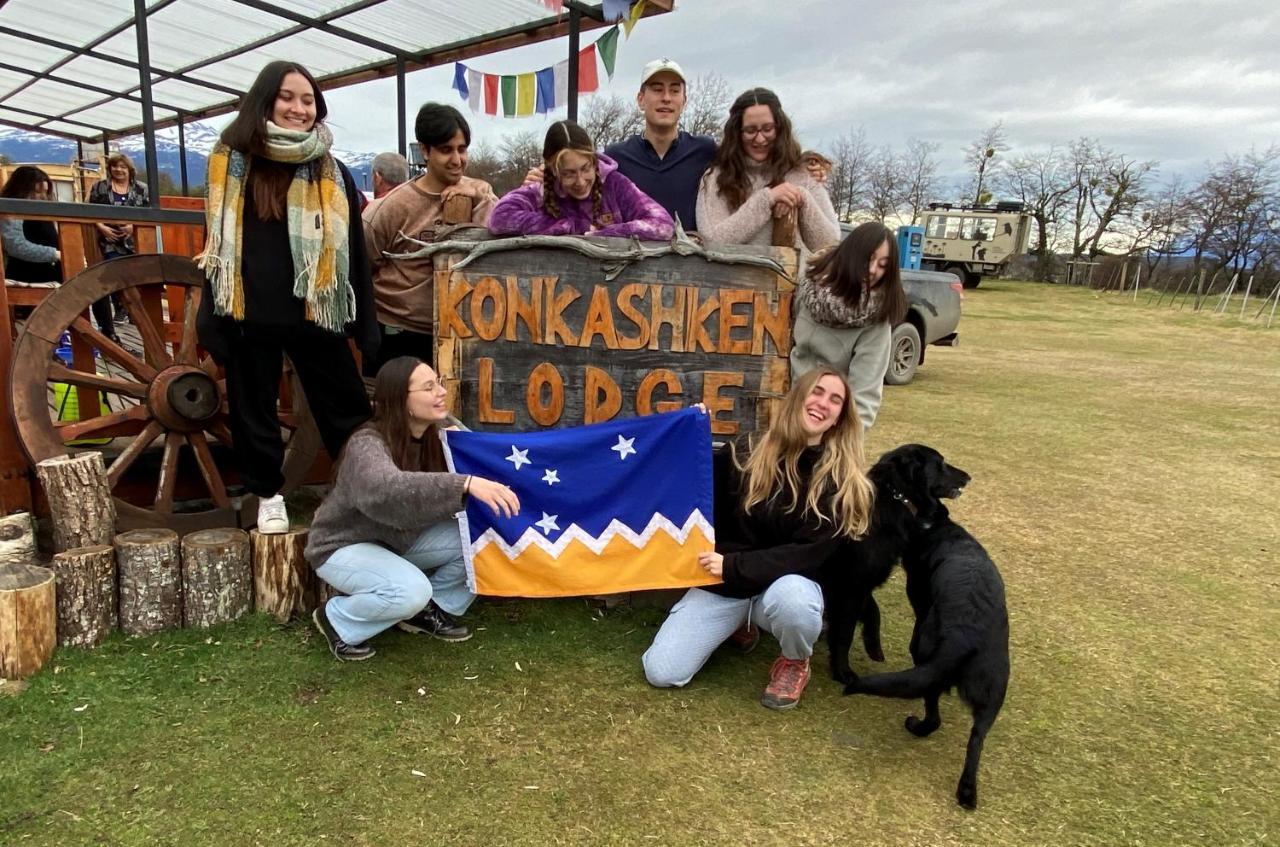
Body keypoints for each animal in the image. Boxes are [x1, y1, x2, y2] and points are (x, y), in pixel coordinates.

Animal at [839, 445, 1008, 808]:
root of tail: (964, 637)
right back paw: (966, 792)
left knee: (935, 713)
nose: (968, 477)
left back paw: (917, 728)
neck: (939, 527)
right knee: (974, 739)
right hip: (990, 691)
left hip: (925, 651)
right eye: (941, 465)